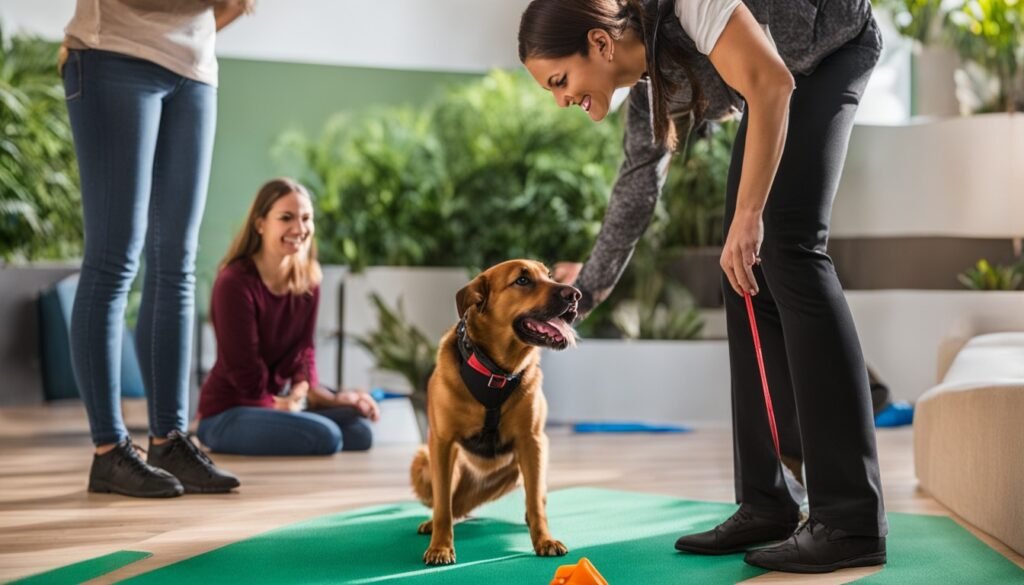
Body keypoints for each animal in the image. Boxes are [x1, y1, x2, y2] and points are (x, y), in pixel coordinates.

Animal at [409, 258, 585, 565]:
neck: (497, 371)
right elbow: (442, 504)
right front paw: (440, 547)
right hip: (423, 461)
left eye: (550, 275)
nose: (575, 295)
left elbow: (535, 501)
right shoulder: (441, 443)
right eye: (522, 280)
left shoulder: (532, 441)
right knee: (449, 505)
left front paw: (544, 540)